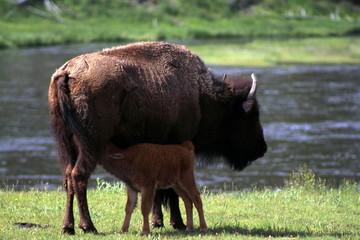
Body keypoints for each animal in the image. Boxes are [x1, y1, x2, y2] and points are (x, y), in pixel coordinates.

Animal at [48, 41, 268, 234]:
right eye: (251, 115)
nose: (262, 148)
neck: (199, 94)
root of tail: (67, 72)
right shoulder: (176, 144)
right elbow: (169, 191)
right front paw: (177, 223)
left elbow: (158, 191)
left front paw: (158, 222)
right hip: (91, 144)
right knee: (79, 176)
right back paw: (88, 226)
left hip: (67, 144)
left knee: (68, 177)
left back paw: (68, 227)